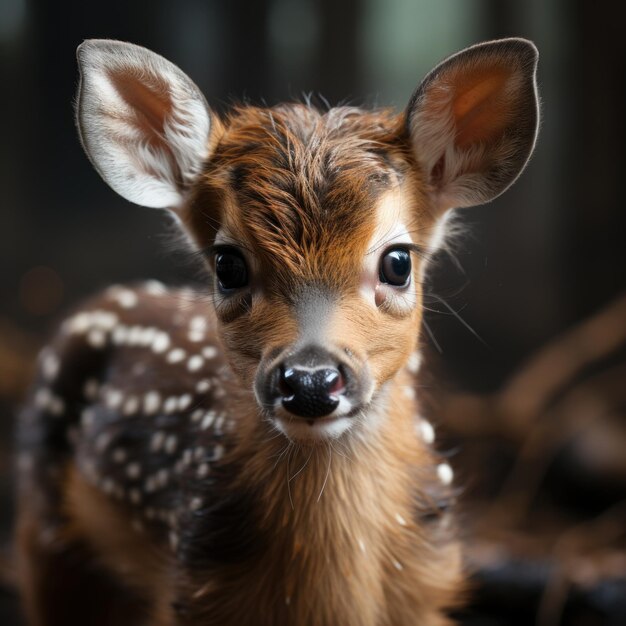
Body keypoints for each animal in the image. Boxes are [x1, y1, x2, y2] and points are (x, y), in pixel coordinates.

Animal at [14, 37, 536, 624]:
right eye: (228, 265)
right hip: (47, 530)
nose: (309, 381)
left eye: (398, 262)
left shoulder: (430, 589)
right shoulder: (196, 589)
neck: (327, 600)